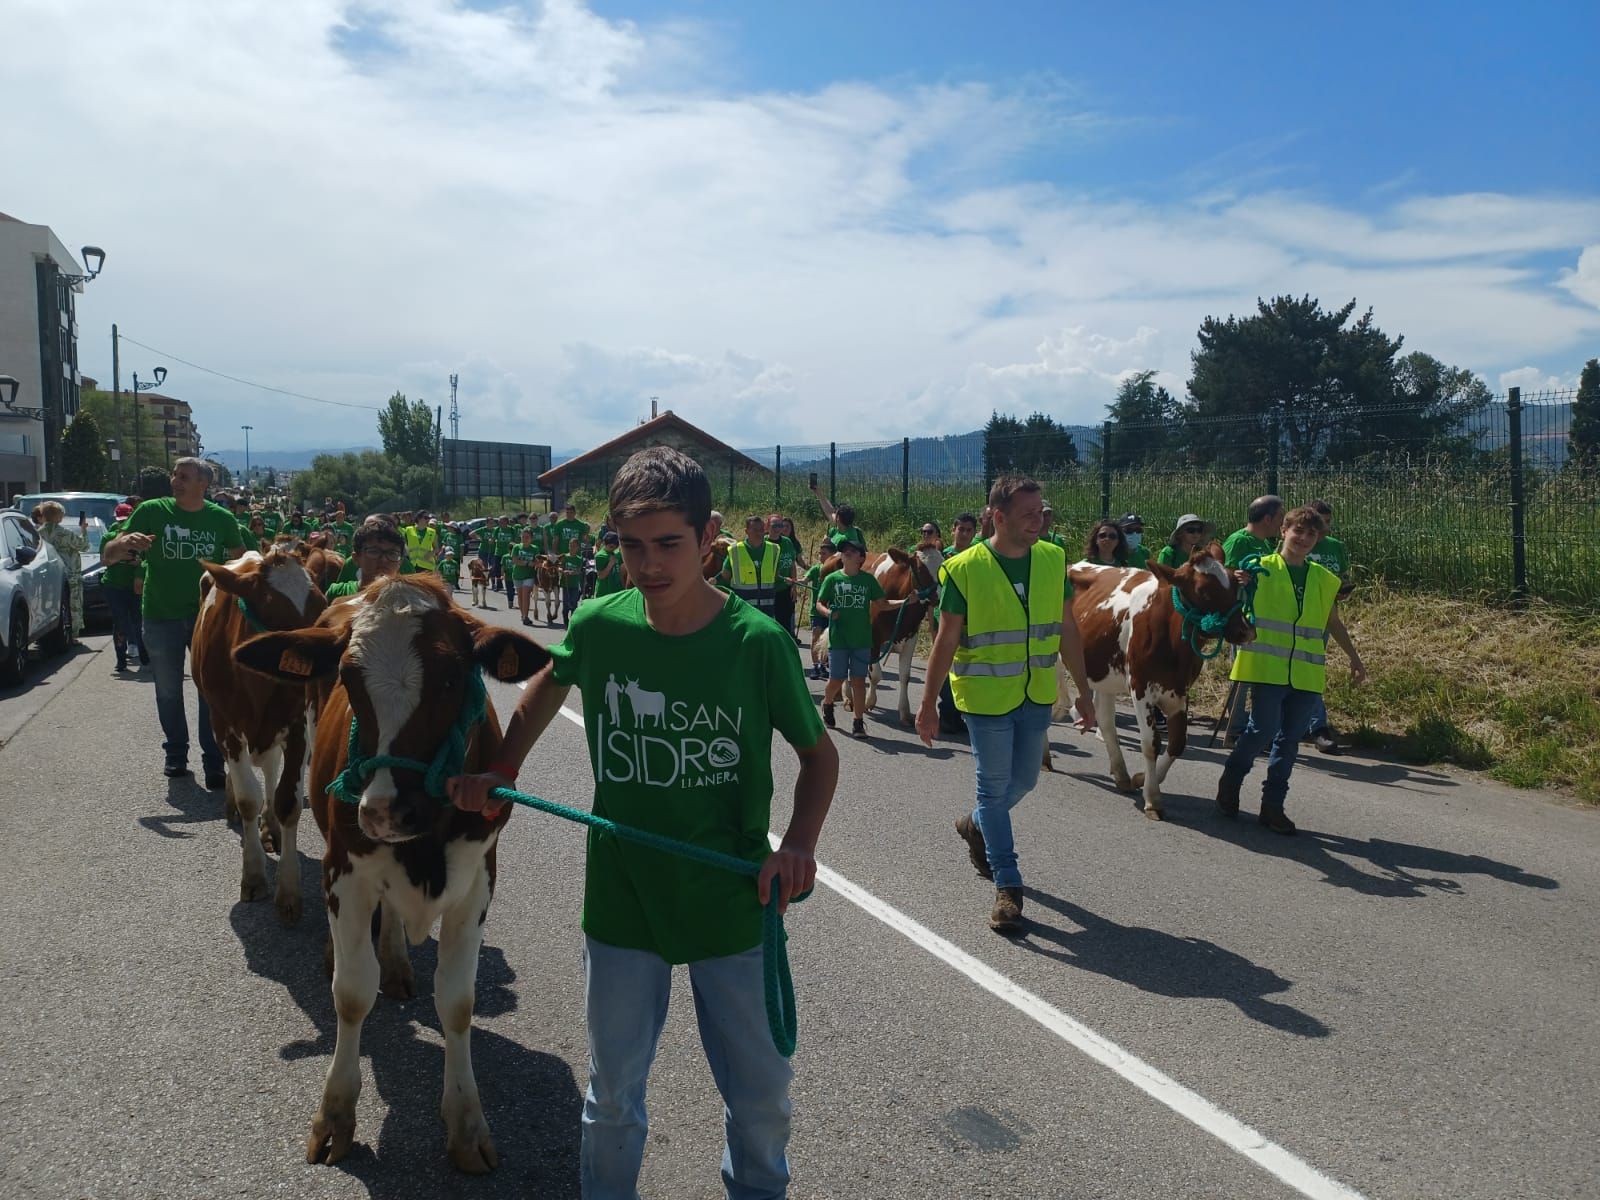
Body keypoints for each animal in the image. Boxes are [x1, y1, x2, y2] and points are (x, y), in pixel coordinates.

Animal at [192, 550, 326, 928]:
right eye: (274, 615)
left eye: (322, 608)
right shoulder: (224, 725)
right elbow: (248, 798)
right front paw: (253, 875)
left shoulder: (297, 726)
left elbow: (288, 802)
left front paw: (289, 891)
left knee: (269, 770)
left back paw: (272, 829)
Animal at [228, 572, 547, 1177]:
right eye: (348, 678)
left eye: (451, 676)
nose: (382, 810)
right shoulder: (345, 871)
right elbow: (352, 994)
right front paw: (335, 1116)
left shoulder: (478, 880)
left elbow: (458, 1001)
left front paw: (467, 1122)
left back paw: (397, 961)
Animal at [1068, 547, 1254, 825]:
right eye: (1204, 591)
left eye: (1234, 582)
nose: (1245, 631)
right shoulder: (1140, 688)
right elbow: (1151, 743)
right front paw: (1152, 799)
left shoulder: (1179, 691)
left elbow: (1177, 743)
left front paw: (1140, 779)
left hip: (1105, 674)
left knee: (1105, 719)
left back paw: (1121, 774)